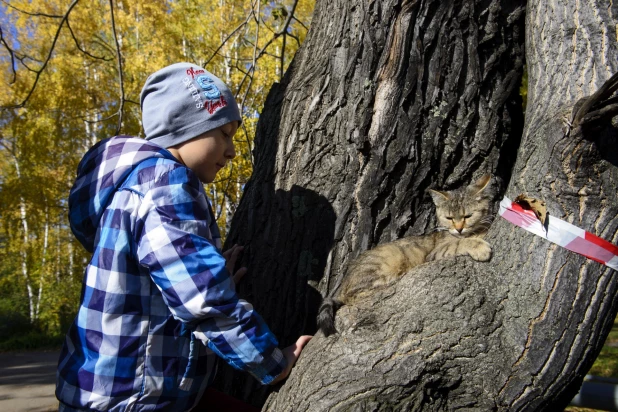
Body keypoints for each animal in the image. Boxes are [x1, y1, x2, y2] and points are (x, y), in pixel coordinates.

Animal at [316, 174, 494, 338]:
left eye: (467, 216)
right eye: (449, 218)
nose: (458, 228)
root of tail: (344, 282)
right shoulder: (436, 252)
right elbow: (459, 243)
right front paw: (477, 246)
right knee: (356, 294)